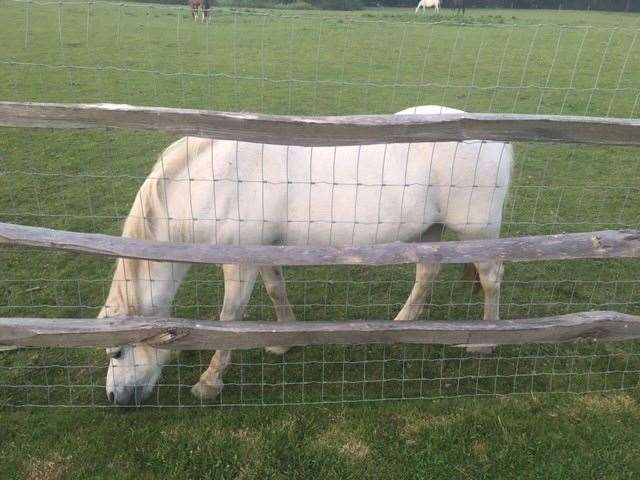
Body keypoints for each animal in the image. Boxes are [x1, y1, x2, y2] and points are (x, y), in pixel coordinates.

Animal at [105, 106, 516, 404]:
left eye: (116, 353)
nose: (116, 398)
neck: (216, 180)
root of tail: (498, 142)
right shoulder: (263, 251)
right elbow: (276, 289)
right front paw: (284, 340)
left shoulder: (239, 261)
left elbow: (229, 317)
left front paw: (209, 382)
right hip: (432, 230)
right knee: (427, 272)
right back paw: (400, 326)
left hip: (477, 231)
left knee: (491, 277)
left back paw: (484, 342)